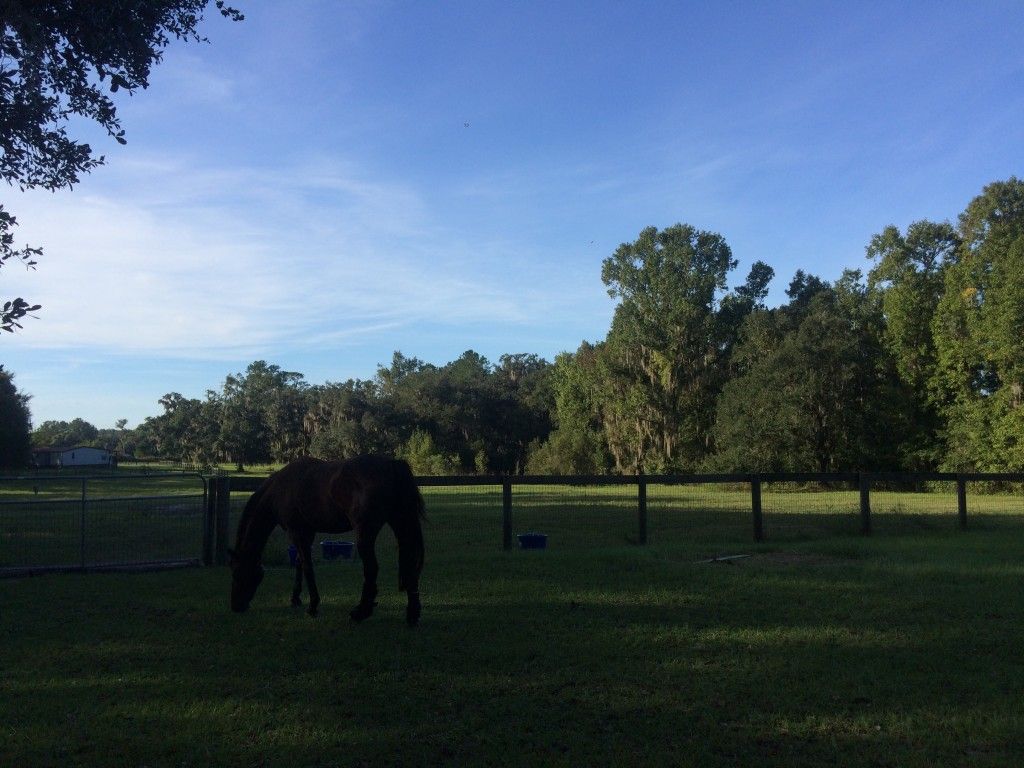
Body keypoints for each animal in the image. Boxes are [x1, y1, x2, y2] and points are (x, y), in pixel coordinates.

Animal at [228, 456, 423, 626]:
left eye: (237, 573)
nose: (236, 606)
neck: (280, 489)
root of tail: (391, 464)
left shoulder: (297, 532)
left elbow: (307, 566)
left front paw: (313, 606)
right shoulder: (307, 533)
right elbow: (299, 563)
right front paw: (295, 598)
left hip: (365, 536)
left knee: (371, 569)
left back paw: (361, 612)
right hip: (400, 524)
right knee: (409, 563)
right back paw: (412, 614)